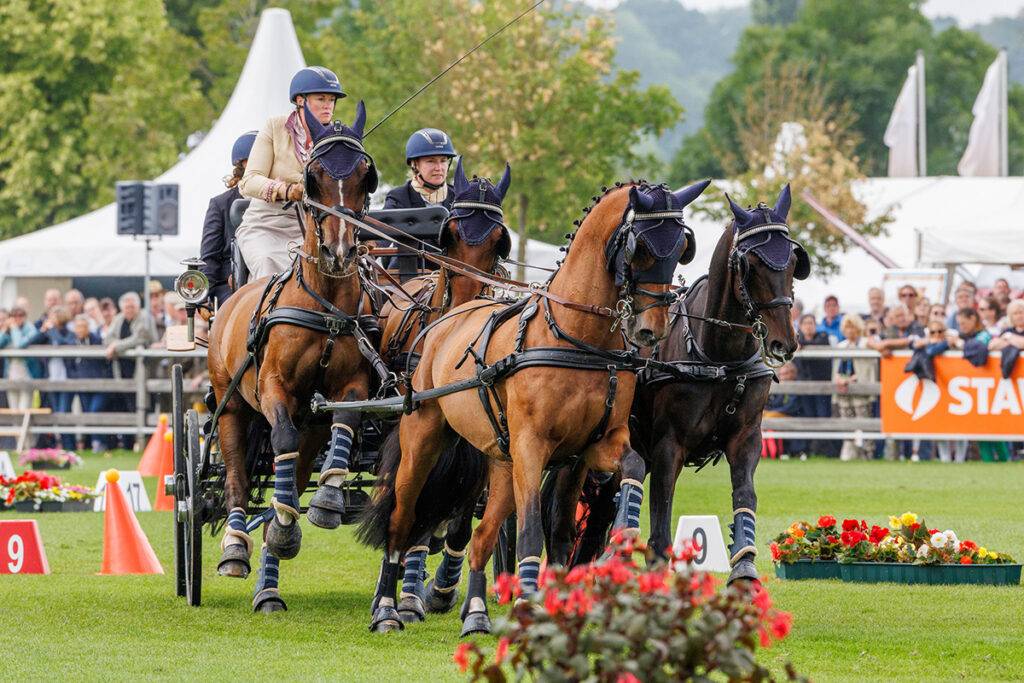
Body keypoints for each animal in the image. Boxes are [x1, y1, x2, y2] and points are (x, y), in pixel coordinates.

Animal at [207, 102, 380, 614]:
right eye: (313, 176)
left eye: (365, 175)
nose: (339, 251)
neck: (325, 303)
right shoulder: (273, 388)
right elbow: (278, 437)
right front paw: (270, 534)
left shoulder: (350, 388)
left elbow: (345, 420)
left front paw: (327, 501)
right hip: (231, 405)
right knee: (238, 478)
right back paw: (236, 548)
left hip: (310, 423)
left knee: (292, 475)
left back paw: (274, 561)